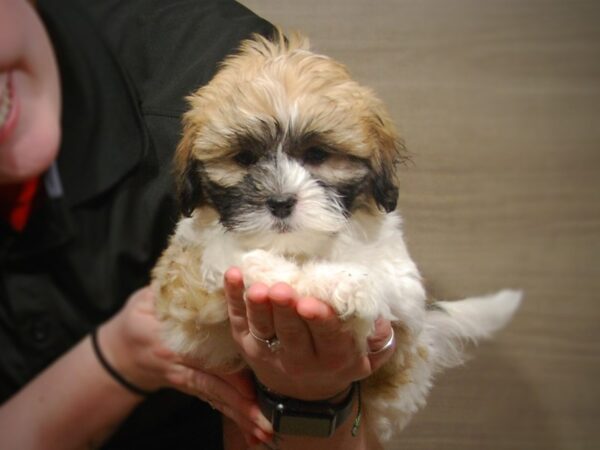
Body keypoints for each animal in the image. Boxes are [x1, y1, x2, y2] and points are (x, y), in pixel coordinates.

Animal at [152, 31, 524, 442]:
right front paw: (312, 278)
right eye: (245, 158)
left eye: (317, 154)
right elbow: (238, 258)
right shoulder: (190, 272)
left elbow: (393, 286)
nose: (280, 201)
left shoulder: (401, 286)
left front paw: (350, 284)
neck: (306, 244)